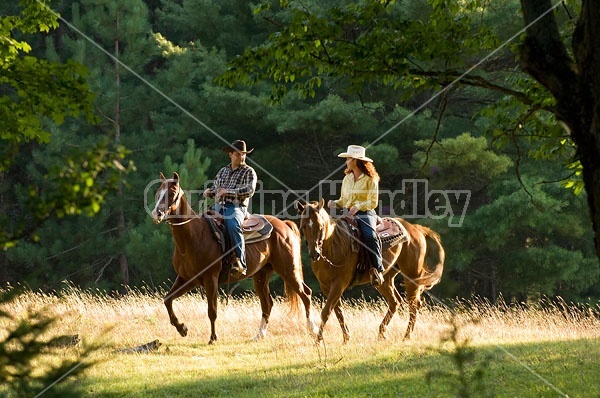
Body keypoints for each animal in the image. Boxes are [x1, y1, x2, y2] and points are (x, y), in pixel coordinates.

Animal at [152, 173, 316, 344]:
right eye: (158, 192)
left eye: (172, 193)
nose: (157, 214)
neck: (194, 236)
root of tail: (284, 225)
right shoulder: (187, 278)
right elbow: (167, 299)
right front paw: (182, 328)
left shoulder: (210, 279)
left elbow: (212, 310)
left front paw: (213, 338)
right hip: (261, 275)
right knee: (267, 304)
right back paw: (259, 335)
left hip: (289, 270)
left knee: (305, 294)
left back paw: (314, 330)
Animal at [296, 201, 446, 344]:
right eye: (303, 227)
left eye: (320, 226)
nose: (314, 253)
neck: (335, 245)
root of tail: (414, 228)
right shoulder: (325, 286)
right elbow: (338, 311)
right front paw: (346, 338)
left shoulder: (339, 284)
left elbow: (326, 311)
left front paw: (318, 341)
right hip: (385, 279)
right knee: (395, 301)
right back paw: (381, 334)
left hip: (412, 275)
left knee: (414, 304)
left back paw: (407, 336)